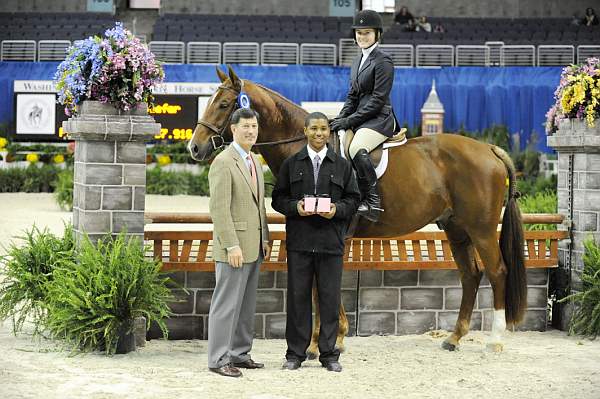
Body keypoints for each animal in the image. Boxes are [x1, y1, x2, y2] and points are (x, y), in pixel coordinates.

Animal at [192, 67, 524, 354]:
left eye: (224, 104)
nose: (194, 148)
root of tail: (489, 149)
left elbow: (324, 286)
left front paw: (325, 343)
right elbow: (319, 285)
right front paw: (323, 342)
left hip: (481, 230)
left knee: (497, 271)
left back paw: (494, 340)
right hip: (456, 229)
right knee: (471, 274)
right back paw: (454, 337)